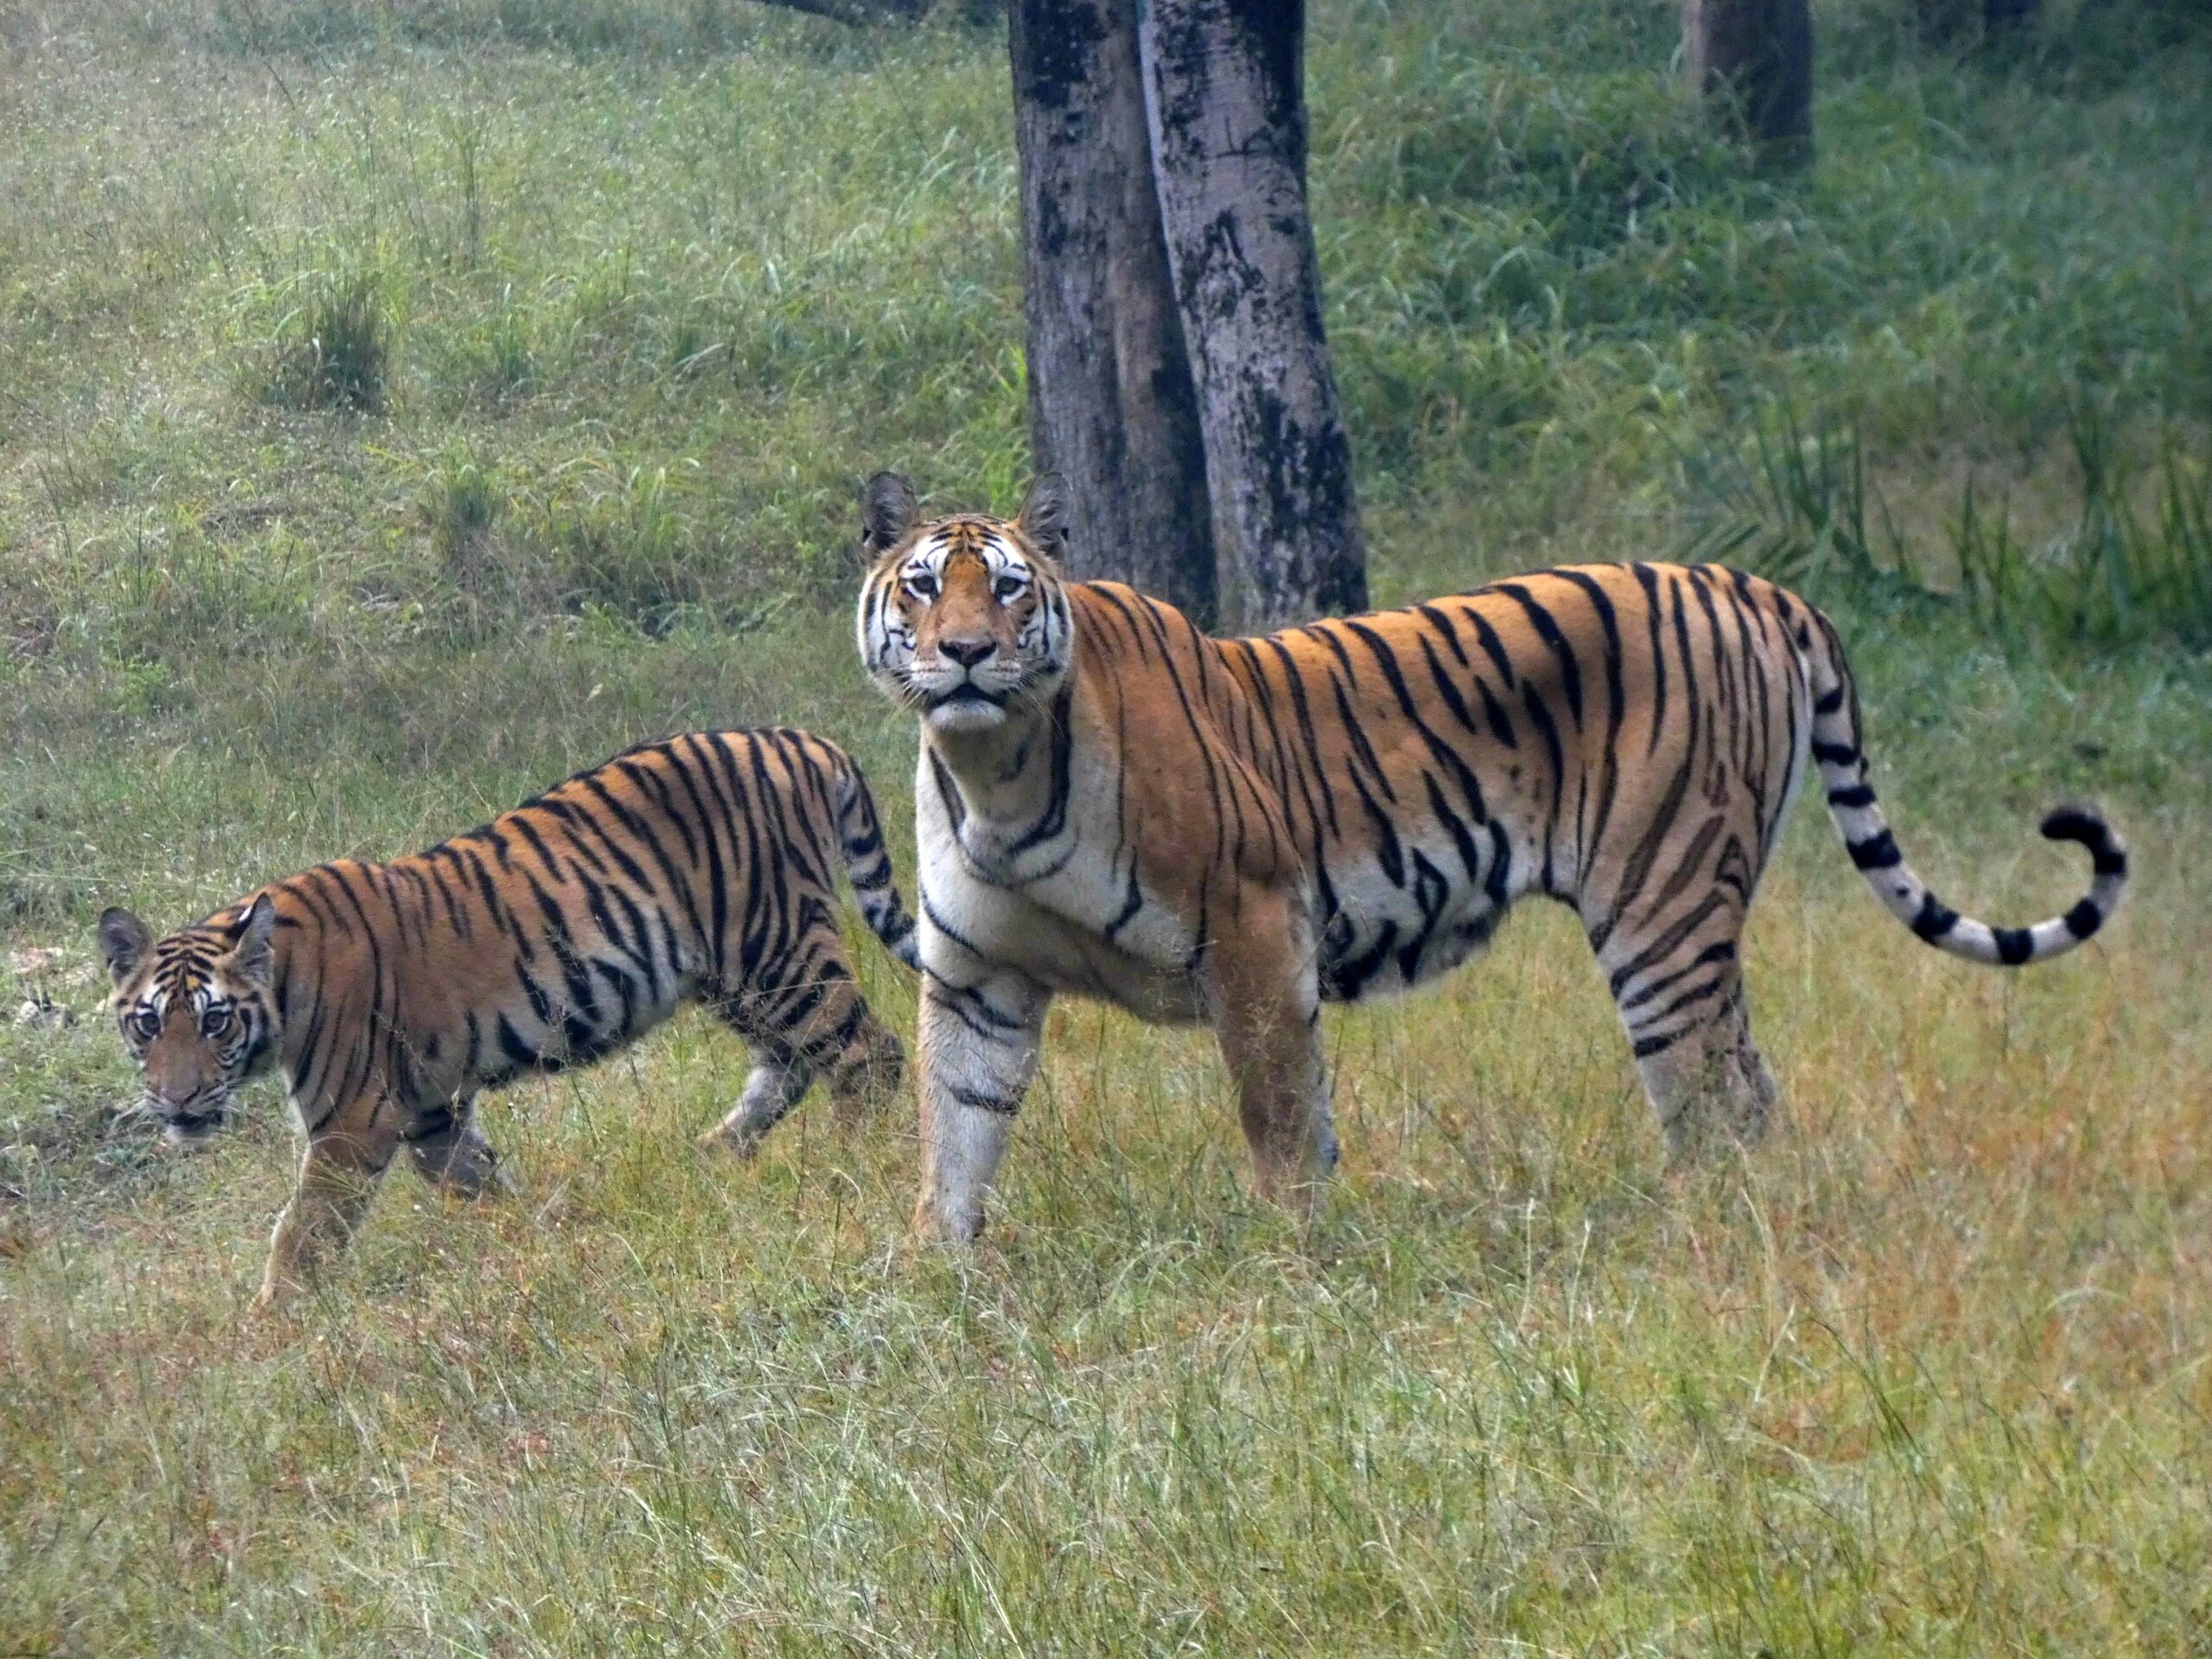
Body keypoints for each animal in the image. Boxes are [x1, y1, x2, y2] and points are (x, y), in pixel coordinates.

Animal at [95, 734, 915, 1309]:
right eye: (148, 1026)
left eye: (215, 1023)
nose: (174, 1100)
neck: (284, 984)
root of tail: (806, 741)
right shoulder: (429, 1113)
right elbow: (481, 1183)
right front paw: (539, 1237)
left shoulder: (351, 1124)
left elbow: (299, 1232)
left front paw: (270, 1324)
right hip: (734, 978)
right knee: (792, 1064)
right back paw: (713, 1154)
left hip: (773, 948)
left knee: (869, 1055)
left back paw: (850, 1167)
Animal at [849, 473, 2123, 1238]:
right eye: (922, 586)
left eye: (1008, 591)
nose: (966, 654)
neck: (995, 769)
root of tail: (1751, 582)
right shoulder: (978, 977)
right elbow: (956, 1130)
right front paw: (933, 1275)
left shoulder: (1252, 933)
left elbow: (1279, 1122)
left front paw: (1289, 1262)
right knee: (1754, 1091)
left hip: (1662, 912)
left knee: (1714, 1099)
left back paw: (1698, 1246)